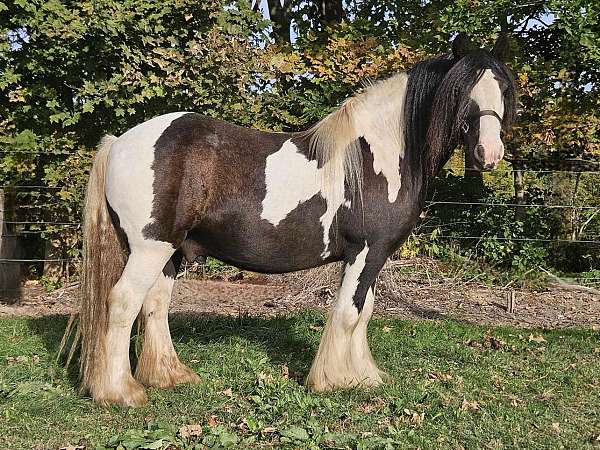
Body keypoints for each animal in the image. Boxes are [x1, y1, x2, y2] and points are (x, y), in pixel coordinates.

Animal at [70, 31, 516, 404]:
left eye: (503, 88)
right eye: (462, 91)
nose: (489, 154)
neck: (380, 155)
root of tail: (120, 142)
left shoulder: (372, 255)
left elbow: (364, 312)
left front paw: (361, 377)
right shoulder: (366, 251)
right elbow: (349, 312)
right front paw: (331, 380)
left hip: (171, 251)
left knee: (155, 304)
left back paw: (169, 376)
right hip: (149, 247)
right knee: (123, 303)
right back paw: (121, 393)